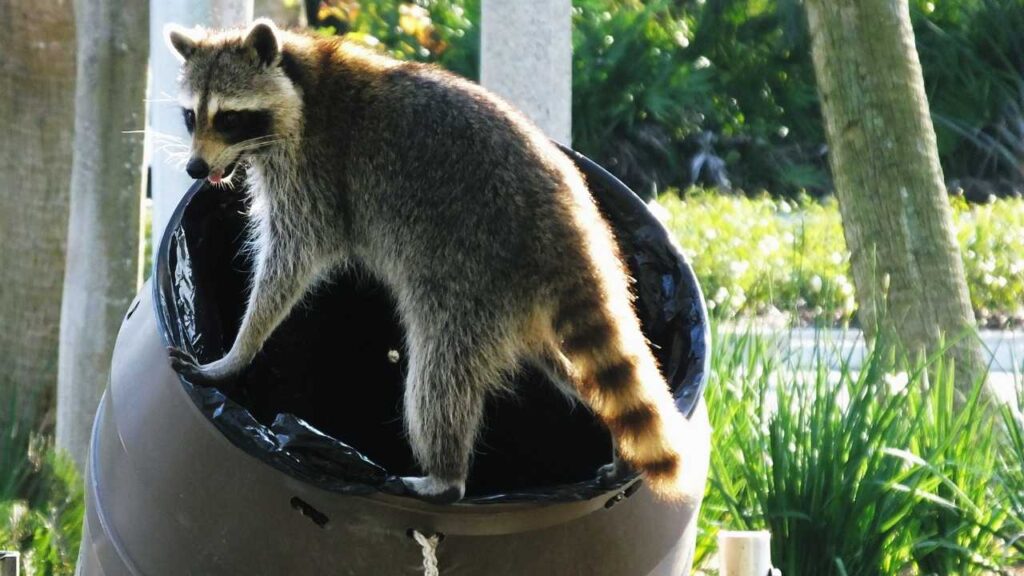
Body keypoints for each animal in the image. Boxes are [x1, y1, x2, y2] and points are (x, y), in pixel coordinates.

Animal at [165, 18, 694, 502]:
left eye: (229, 118)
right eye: (191, 116)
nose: (194, 168)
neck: (302, 82)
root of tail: (571, 228)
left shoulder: (315, 171)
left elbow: (291, 260)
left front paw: (239, 350)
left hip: (473, 278)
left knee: (440, 372)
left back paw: (444, 476)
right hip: (520, 303)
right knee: (573, 368)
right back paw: (615, 441)